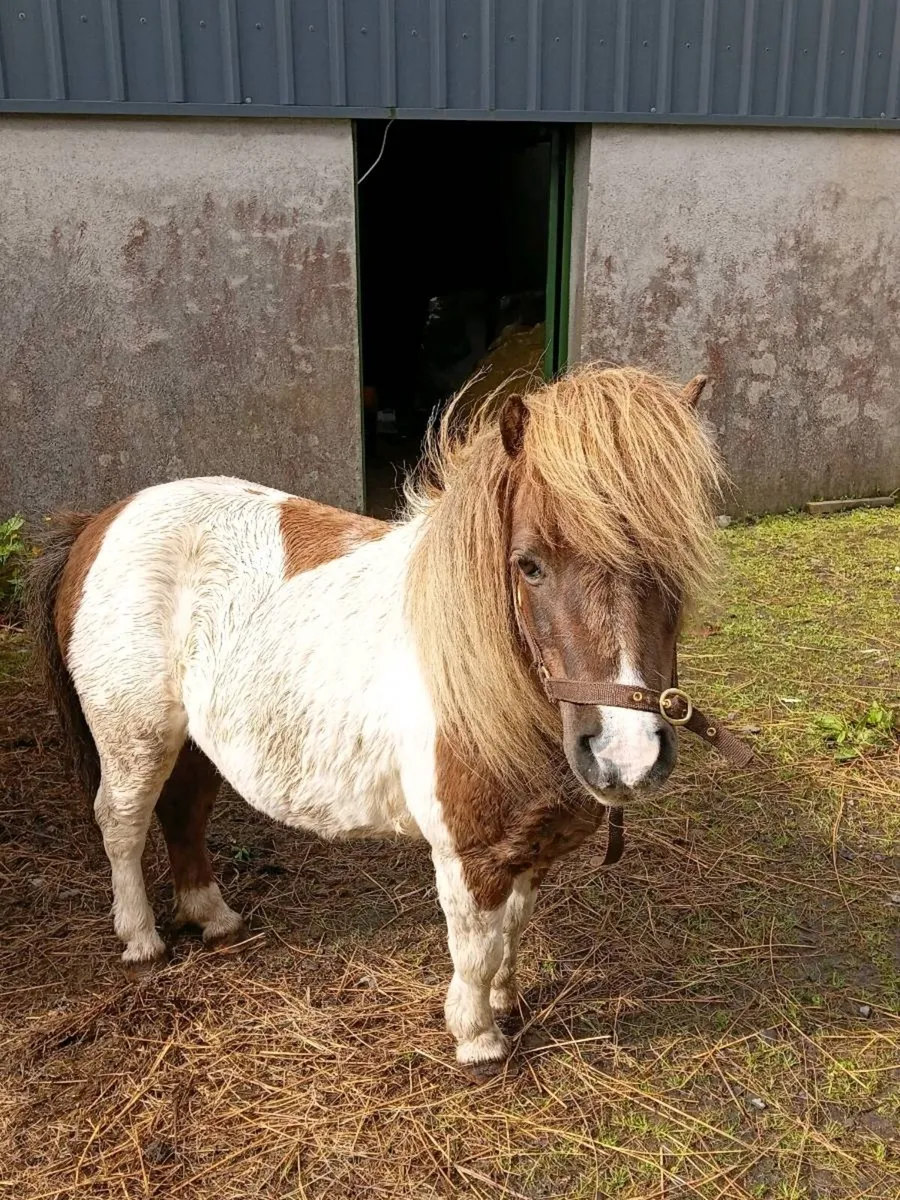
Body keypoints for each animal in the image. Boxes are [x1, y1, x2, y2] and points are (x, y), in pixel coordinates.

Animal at [28, 365, 723, 1074]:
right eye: (529, 564)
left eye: (677, 560)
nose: (626, 756)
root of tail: (101, 523)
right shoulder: (468, 853)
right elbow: (476, 947)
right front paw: (478, 1039)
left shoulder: (528, 844)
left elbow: (514, 929)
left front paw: (507, 1002)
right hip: (134, 739)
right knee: (122, 825)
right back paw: (141, 941)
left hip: (194, 744)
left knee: (184, 814)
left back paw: (214, 918)